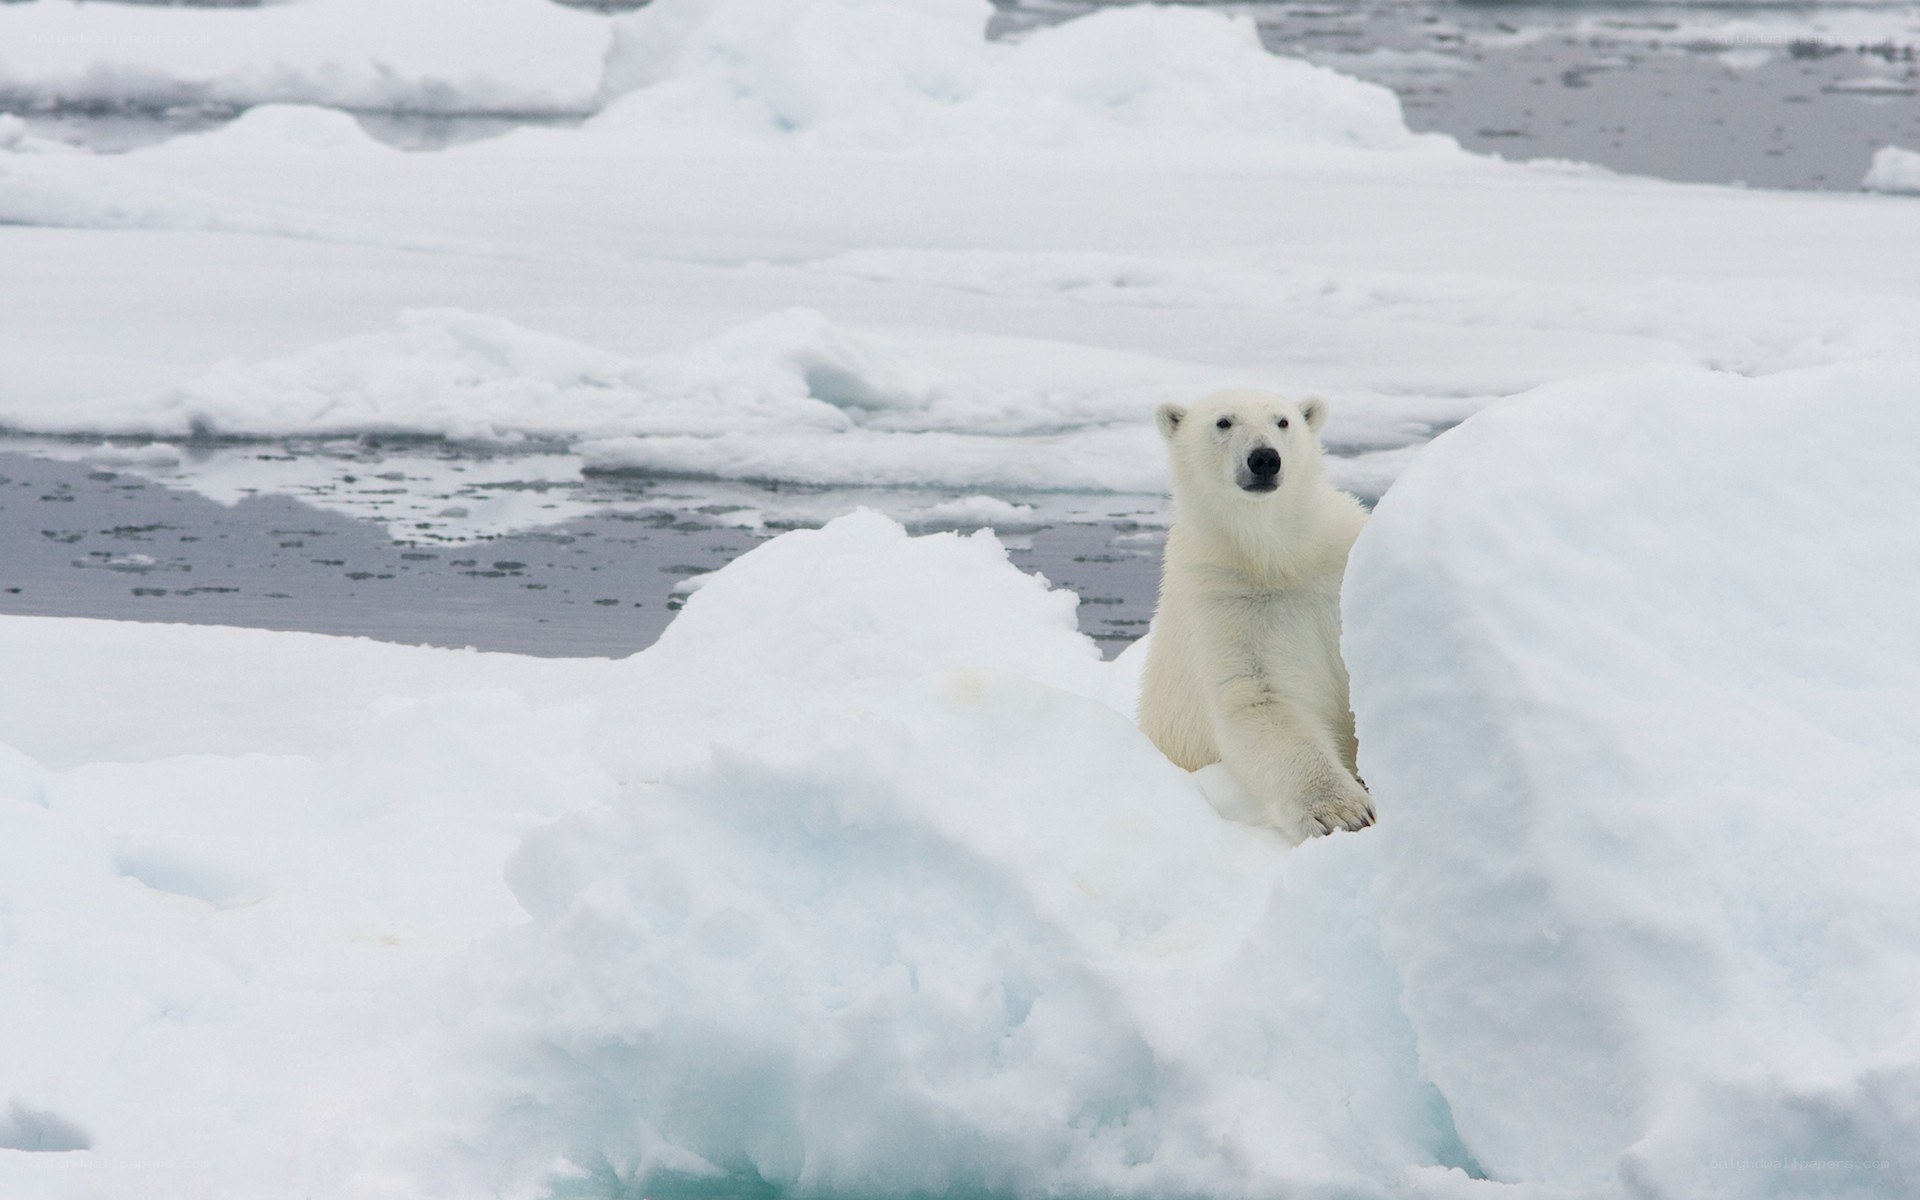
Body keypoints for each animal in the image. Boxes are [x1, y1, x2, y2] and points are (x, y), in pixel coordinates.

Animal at [1137, 388, 1375, 842]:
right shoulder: (1222, 603)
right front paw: (1342, 811)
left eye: (1282, 421)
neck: (1276, 559)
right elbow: (1259, 704)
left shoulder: (1337, 558)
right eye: (1223, 422)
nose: (1264, 458)